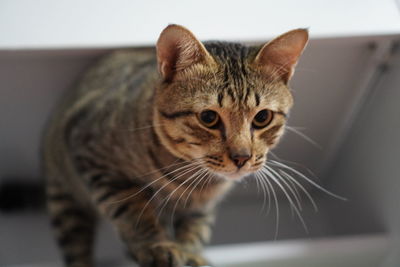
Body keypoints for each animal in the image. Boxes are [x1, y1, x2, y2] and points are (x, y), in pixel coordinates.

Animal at [41, 25, 310, 267]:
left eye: (262, 117)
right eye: (208, 117)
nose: (242, 158)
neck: (191, 180)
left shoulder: (202, 207)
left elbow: (196, 228)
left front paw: (190, 253)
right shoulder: (94, 156)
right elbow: (134, 211)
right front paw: (158, 246)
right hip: (65, 201)